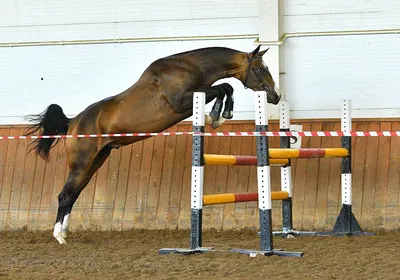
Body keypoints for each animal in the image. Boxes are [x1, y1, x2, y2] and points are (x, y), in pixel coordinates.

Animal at [25, 43, 282, 243]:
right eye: (259, 69)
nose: (275, 96)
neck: (190, 67)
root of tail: (73, 122)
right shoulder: (183, 101)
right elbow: (223, 87)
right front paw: (218, 116)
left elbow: (224, 87)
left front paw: (217, 116)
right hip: (82, 163)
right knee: (65, 195)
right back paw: (59, 236)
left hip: (97, 160)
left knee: (73, 194)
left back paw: (65, 233)